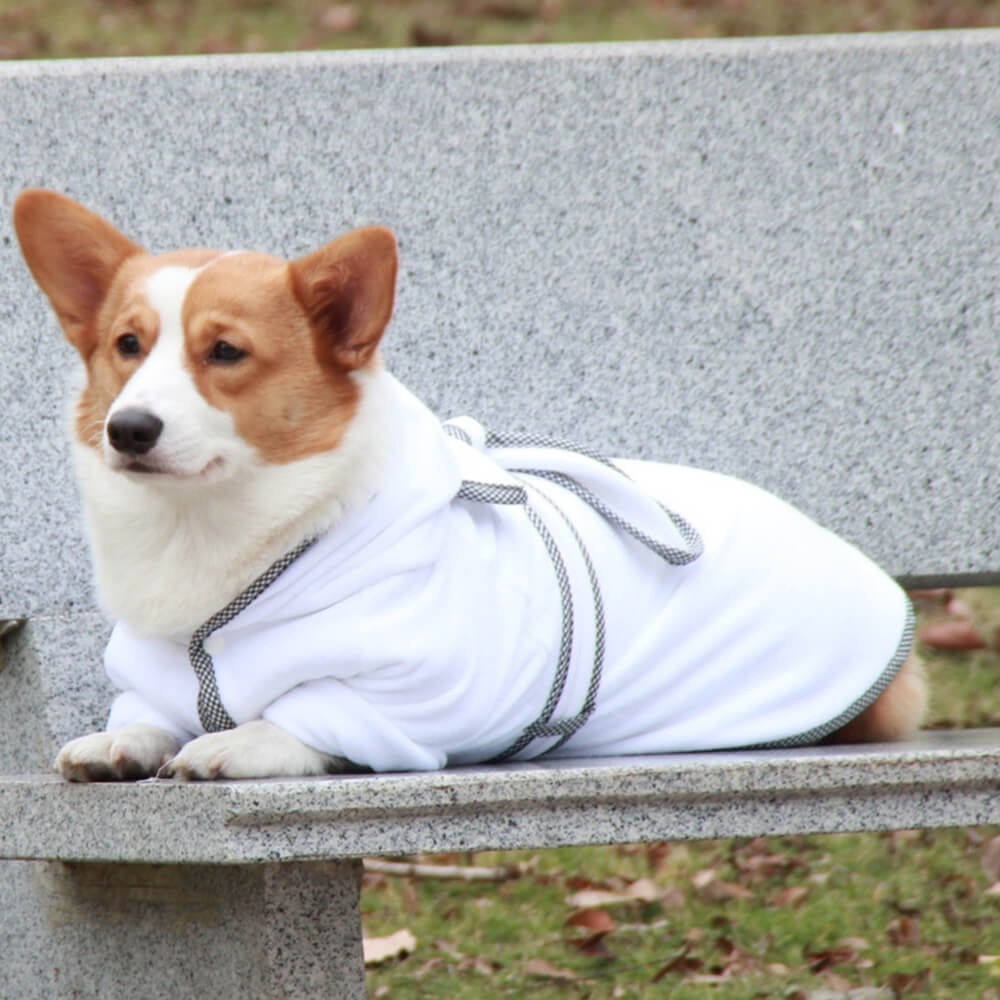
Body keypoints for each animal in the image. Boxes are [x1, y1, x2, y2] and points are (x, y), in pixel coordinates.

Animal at [11, 188, 924, 780]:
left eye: (225, 352)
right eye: (127, 346)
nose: (129, 429)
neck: (207, 537)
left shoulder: (407, 699)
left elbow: (304, 716)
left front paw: (237, 742)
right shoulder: (155, 678)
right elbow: (145, 716)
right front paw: (124, 744)